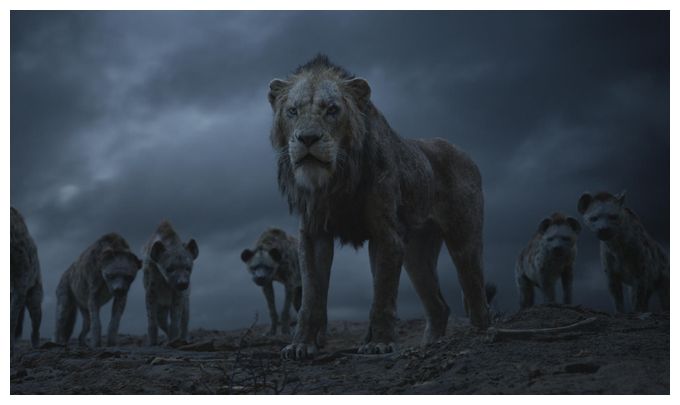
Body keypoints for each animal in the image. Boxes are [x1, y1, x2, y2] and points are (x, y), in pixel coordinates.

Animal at [268, 55, 490, 359]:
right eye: (292, 111)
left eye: (332, 110)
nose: (308, 139)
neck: (335, 179)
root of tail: (466, 154)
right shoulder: (313, 234)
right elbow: (311, 297)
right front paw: (301, 344)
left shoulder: (386, 233)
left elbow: (382, 293)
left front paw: (379, 343)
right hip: (416, 254)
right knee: (439, 306)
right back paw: (431, 344)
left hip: (463, 239)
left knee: (475, 289)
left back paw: (478, 336)